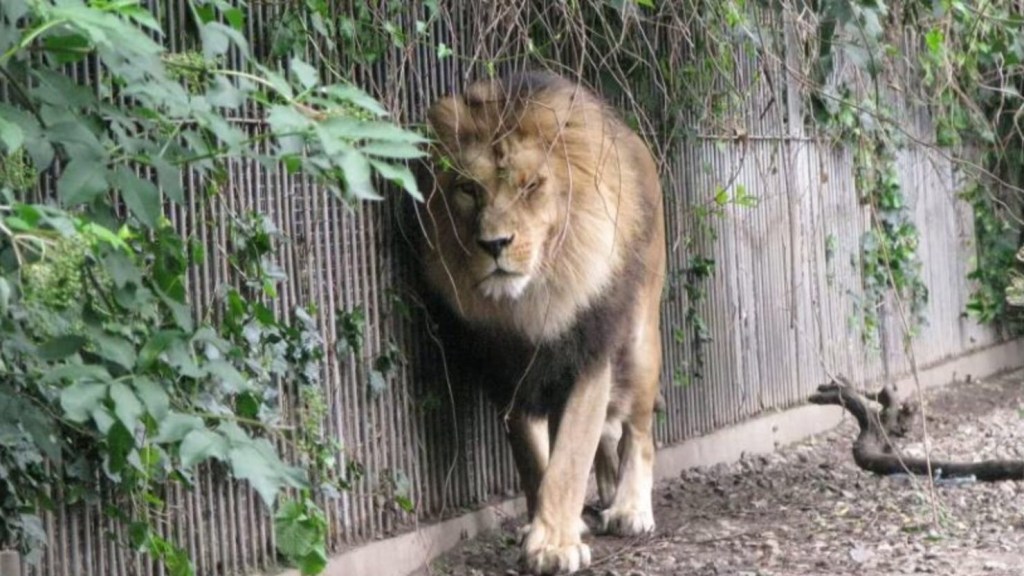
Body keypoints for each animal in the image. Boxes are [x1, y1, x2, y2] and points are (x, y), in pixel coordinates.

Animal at [411, 71, 666, 575]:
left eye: (531, 186)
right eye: (468, 189)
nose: (494, 244)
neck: (534, 299)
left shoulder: (589, 354)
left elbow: (569, 457)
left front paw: (554, 546)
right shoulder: (510, 371)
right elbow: (534, 459)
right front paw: (546, 528)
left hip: (640, 339)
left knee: (638, 430)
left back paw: (629, 509)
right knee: (609, 433)